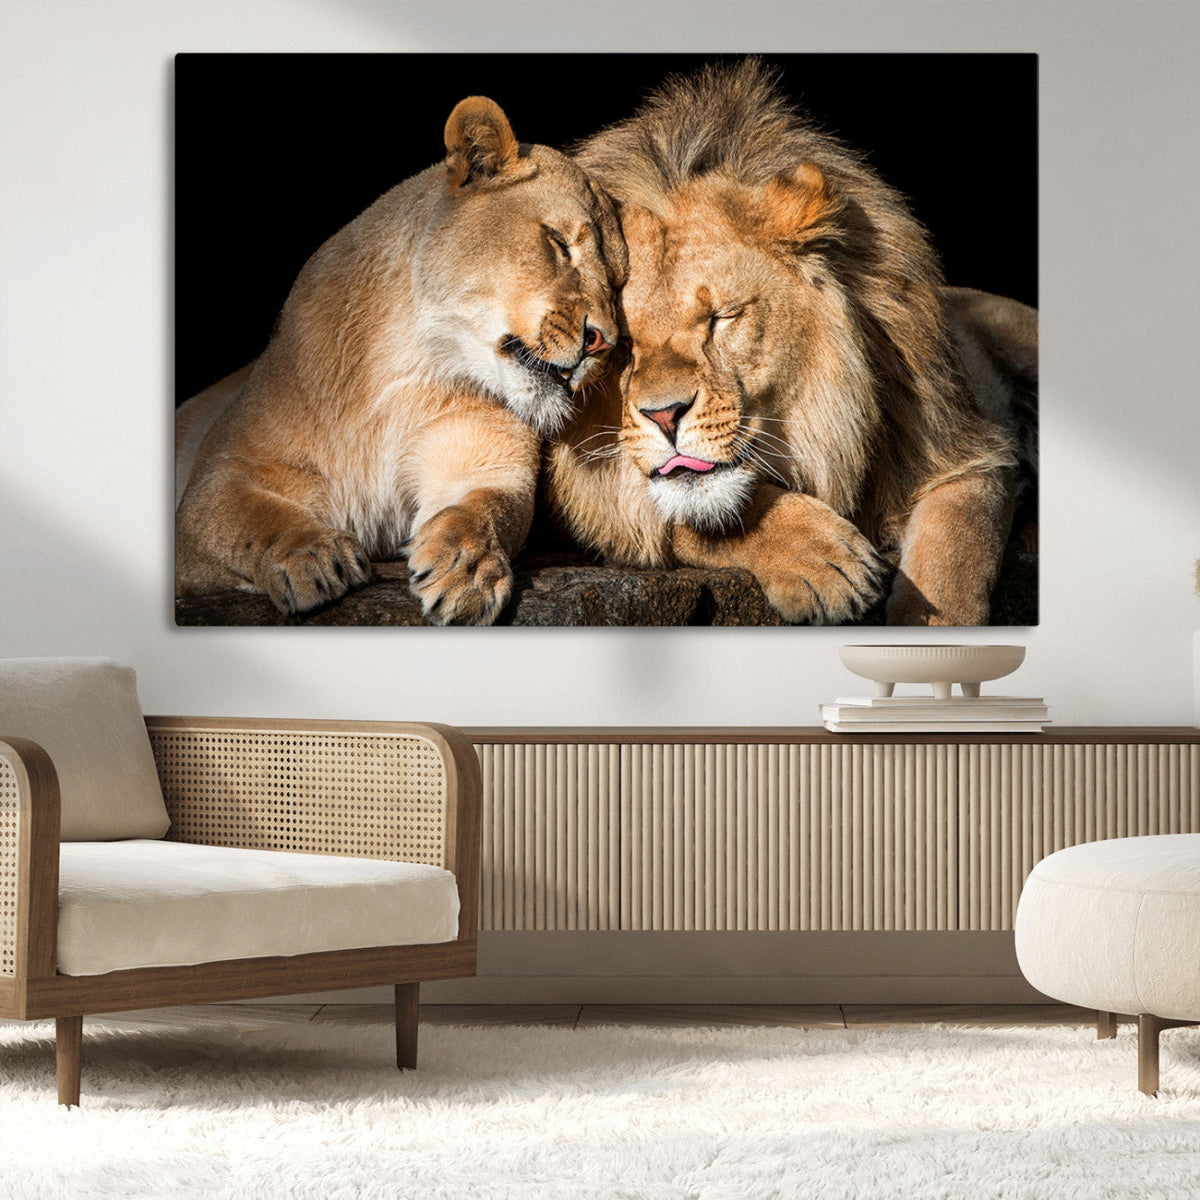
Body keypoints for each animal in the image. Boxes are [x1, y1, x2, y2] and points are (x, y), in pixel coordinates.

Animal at [175, 96, 626, 623]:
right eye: (558, 242)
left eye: (618, 284)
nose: (603, 342)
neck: (408, 368)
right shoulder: (218, 478)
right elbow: (250, 518)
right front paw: (311, 556)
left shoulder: (487, 463)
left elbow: (483, 510)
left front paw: (467, 570)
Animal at [545, 61, 1037, 626]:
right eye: (622, 343)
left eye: (722, 317)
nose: (664, 416)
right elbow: (701, 513)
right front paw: (824, 561)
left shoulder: (965, 447)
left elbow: (953, 555)